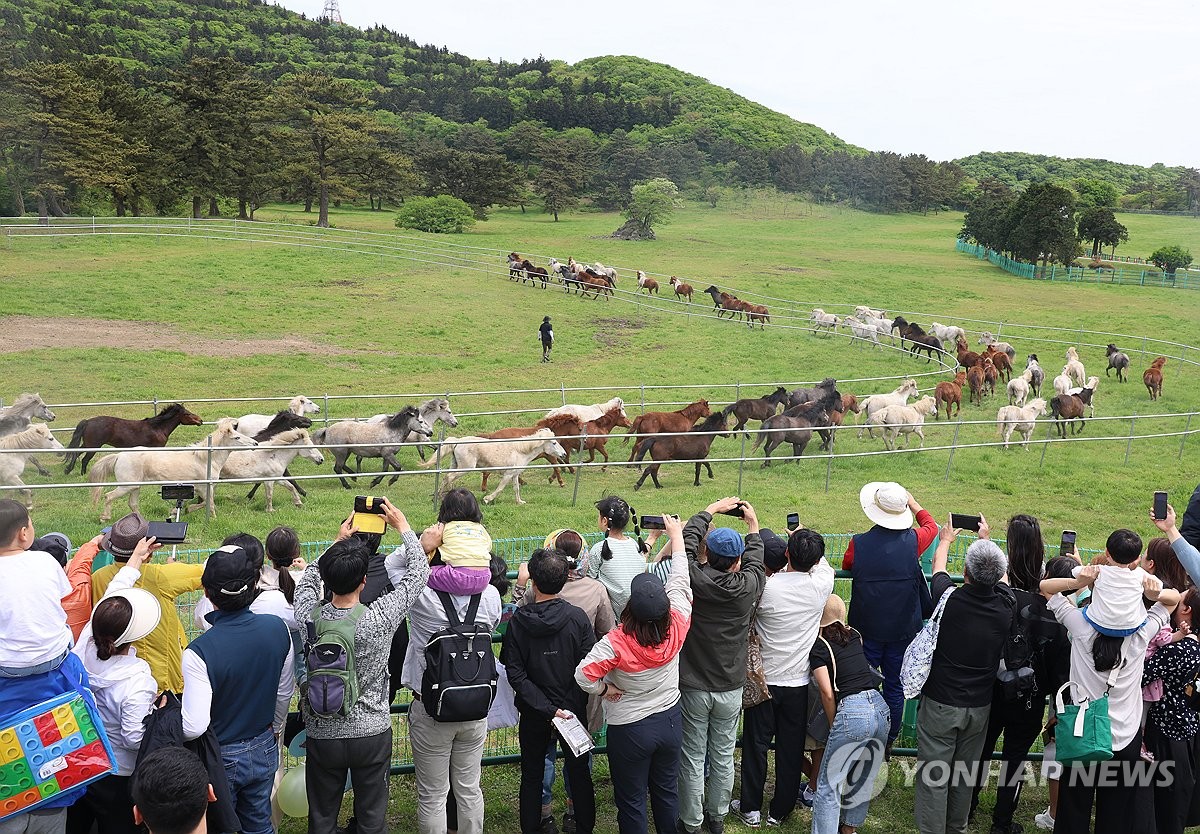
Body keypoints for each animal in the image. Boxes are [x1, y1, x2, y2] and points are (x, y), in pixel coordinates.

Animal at [63, 405, 204, 475]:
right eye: (187, 414)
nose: (200, 420)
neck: (157, 427)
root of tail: (88, 421)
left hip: (87, 444)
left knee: (76, 454)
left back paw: (68, 470)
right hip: (93, 446)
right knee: (84, 459)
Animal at [88, 420, 258, 518]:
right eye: (236, 437)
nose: (255, 443)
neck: (205, 459)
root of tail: (119, 455)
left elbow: (204, 503)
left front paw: (178, 511)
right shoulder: (204, 488)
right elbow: (209, 504)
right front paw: (212, 518)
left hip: (136, 487)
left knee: (133, 504)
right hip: (127, 486)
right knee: (109, 496)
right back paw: (104, 517)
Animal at [422, 429, 571, 508]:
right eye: (554, 443)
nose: (564, 454)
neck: (520, 451)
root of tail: (457, 441)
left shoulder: (515, 475)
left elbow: (516, 489)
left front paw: (520, 502)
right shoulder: (507, 475)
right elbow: (500, 489)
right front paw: (487, 499)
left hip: (456, 465)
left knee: (446, 478)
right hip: (465, 467)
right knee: (449, 477)